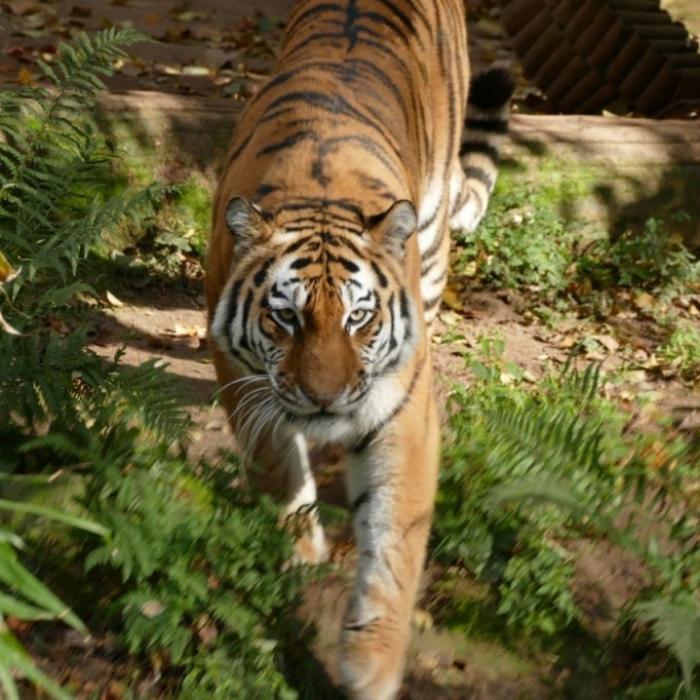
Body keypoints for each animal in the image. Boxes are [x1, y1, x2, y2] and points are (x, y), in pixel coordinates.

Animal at [205, 1, 513, 697]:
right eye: (285, 318)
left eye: (360, 319)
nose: (326, 400)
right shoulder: (241, 375)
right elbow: (277, 466)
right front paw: (298, 554)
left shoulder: (403, 410)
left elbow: (394, 539)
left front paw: (371, 665)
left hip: (433, 247)